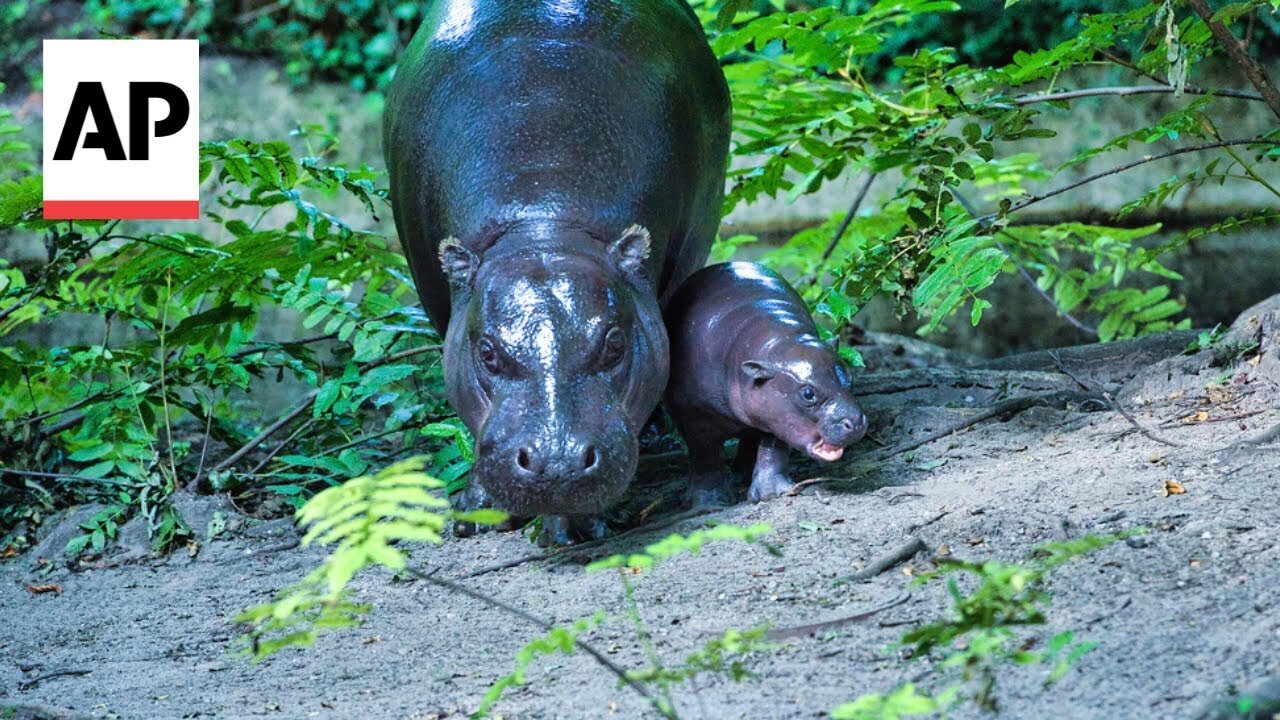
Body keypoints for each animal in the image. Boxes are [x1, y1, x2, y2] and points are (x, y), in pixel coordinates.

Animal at [381, 0, 732, 527]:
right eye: (487, 353)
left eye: (614, 344)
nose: (557, 462)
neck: (543, 221)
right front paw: (475, 512)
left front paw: (573, 527)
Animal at [665, 258, 865, 504]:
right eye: (808, 394)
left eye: (850, 377)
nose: (856, 421)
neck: (778, 342)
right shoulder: (694, 413)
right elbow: (704, 454)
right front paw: (709, 502)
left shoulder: (776, 415)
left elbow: (773, 448)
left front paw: (772, 493)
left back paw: (742, 474)